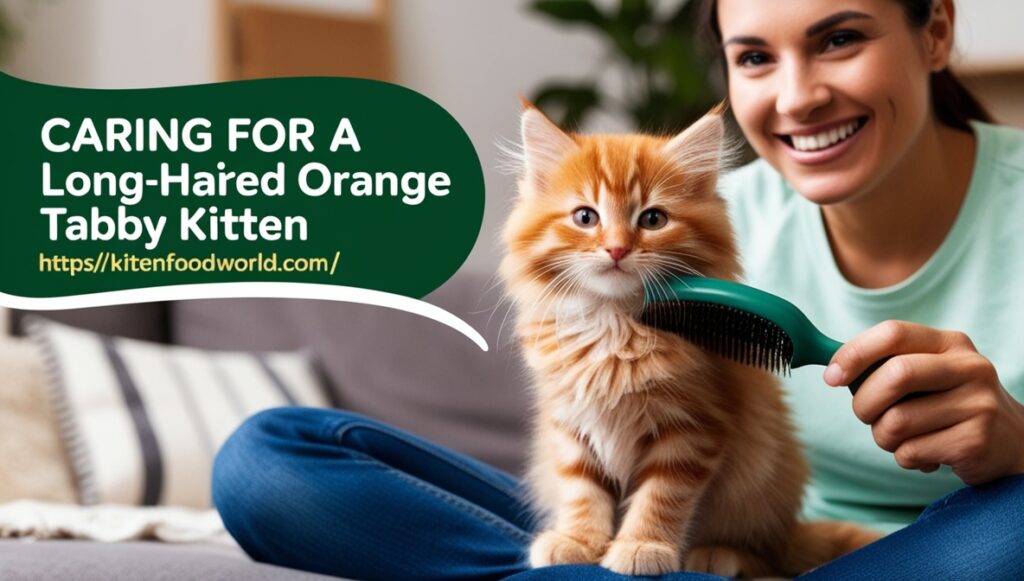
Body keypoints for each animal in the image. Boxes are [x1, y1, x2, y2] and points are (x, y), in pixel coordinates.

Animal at [497, 103, 880, 577]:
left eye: (653, 219)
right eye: (586, 217)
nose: (617, 250)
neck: (617, 327)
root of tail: (790, 529)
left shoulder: (692, 429)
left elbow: (660, 498)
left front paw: (642, 546)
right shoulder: (570, 426)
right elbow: (582, 491)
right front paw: (577, 541)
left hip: (762, 485)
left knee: (763, 555)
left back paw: (718, 554)